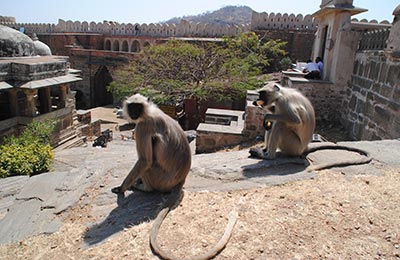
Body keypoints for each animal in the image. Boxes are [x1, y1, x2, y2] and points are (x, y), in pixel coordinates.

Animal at [111, 93, 238, 260]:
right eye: (132, 106)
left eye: (138, 107)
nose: (133, 113)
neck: (149, 113)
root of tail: (181, 181)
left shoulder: (143, 127)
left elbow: (144, 160)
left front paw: (121, 188)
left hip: (159, 178)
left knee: (147, 165)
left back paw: (143, 187)